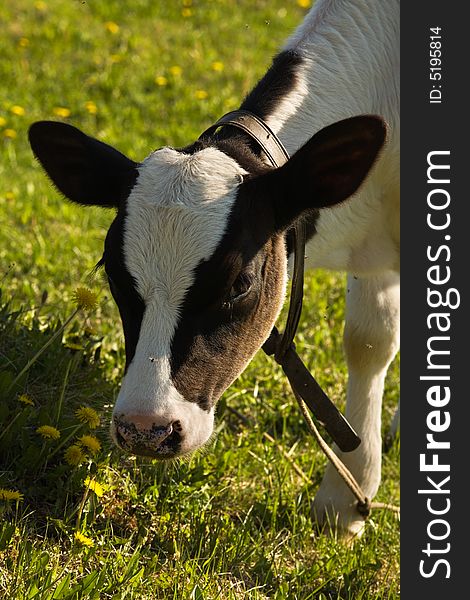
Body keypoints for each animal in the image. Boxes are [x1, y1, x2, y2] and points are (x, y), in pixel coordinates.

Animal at [28, 0, 396, 536]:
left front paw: (345, 497)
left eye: (239, 284)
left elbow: (372, 341)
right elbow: (369, 339)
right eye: (112, 272)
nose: (145, 429)